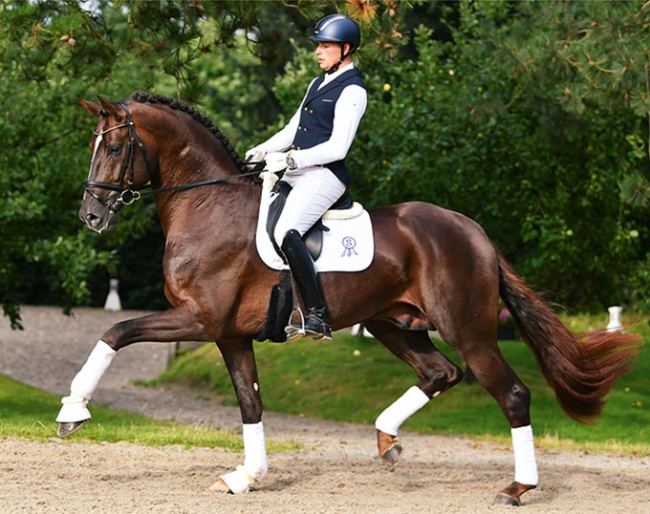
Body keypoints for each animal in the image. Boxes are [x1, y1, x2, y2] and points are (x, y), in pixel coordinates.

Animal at [57, 92, 636, 504]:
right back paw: (387, 440)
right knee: (440, 374)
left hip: (467, 328)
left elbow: (115, 331)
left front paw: (73, 411)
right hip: (392, 323)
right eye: (93, 146)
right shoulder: (229, 335)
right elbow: (250, 402)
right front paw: (248, 476)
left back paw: (517, 488)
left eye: (114, 148)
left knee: (510, 393)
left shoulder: (199, 319)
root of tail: (475, 232)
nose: (90, 216)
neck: (207, 204)